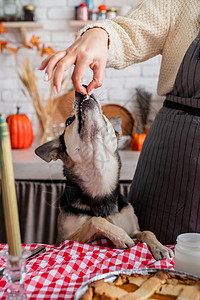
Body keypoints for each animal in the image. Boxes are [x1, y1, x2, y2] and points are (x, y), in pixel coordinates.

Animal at [35, 88, 174, 260]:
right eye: (68, 121)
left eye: (104, 116)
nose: (81, 90)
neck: (100, 177)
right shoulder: (64, 240)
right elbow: (96, 221)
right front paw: (121, 236)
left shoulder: (134, 230)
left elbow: (147, 232)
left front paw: (160, 247)